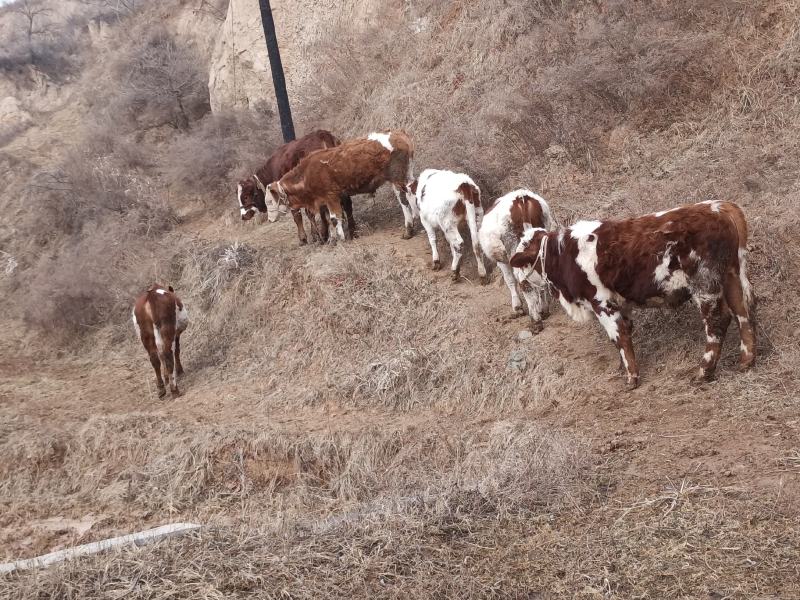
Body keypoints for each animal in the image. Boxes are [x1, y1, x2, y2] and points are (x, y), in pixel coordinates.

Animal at [268, 131, 418, 241]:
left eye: (269, 201)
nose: (270, 219)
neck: (307, 173)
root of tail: (398, 134)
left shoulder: (331, 196)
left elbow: (334, 218)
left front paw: (339, 239)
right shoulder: (329, 199)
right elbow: (330, 217)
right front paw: (333, 239)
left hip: (397, 178)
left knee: (404, 199)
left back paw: (408, 230)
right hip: (407, 174)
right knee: (412, 191)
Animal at [482, 189, 556, 332]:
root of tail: (521, 197)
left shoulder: (502, 260)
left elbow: (510, 280)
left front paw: (517, 307)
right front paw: (539, 307)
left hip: (512, 243)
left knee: (522, 279)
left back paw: (535, 321)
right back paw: (543, 310)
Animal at [510, 202, 760, 390]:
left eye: (521, 251)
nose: (518, 277)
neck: (563, 254)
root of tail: (719, 207)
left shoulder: (602, 302)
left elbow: (618, 336)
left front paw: (631, 378)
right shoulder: (620, 303)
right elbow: (625, 333)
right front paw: (622, 367)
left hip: (705, 284)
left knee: (718, 321)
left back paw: (704, 371)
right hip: (732, 275)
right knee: (743, 311)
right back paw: (746, 361)